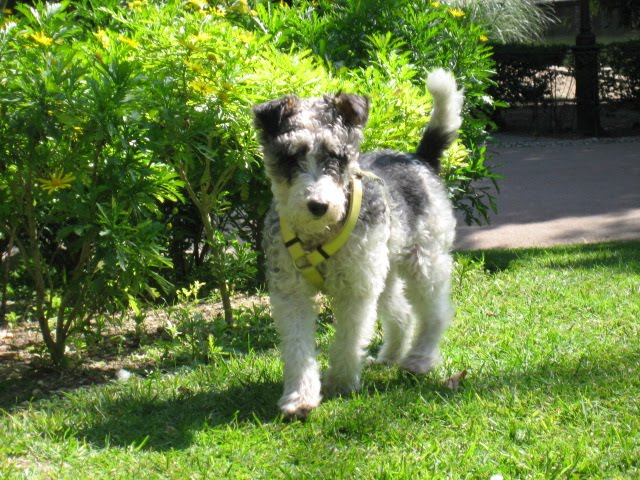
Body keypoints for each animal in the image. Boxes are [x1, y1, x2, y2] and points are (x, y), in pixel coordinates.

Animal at [253, 69, 463, 419]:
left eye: (335, 156)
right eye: (291, 156)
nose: (318, 205)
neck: (319, 235)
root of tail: (419, 159)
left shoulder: (355, 289)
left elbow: (349, 338)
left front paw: (340, 382)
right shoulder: (291, 294)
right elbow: (297, 348)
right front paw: (299, 396)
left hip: (424, 263)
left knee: (435, 312)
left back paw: (419, 359)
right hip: (384, 272)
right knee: (402, 314)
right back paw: (390, 356)